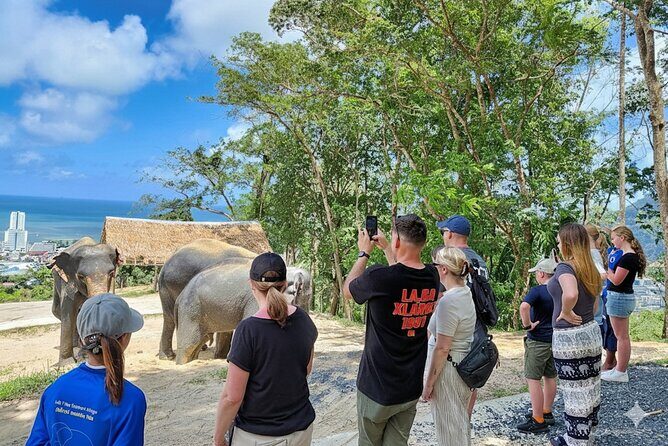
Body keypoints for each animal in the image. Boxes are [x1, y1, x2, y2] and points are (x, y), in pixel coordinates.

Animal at [174, 262, 312, 364]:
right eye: (307, 297)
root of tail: (180, 297)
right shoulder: (255, 300)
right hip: (190, 311)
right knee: (189, 343)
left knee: (201, 340)